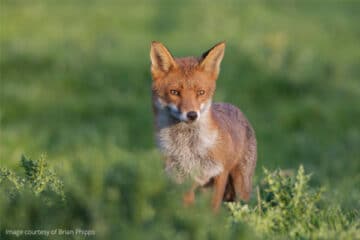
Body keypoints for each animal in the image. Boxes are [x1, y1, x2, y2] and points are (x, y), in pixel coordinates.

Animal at [150, 41, 258, 212]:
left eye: (201, 92)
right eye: (174, 92)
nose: (192, 114)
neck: (188, 148)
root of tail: (233, 106)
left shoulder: (220, 173)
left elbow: (213, 209)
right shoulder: (181, 180)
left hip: (241, 185)